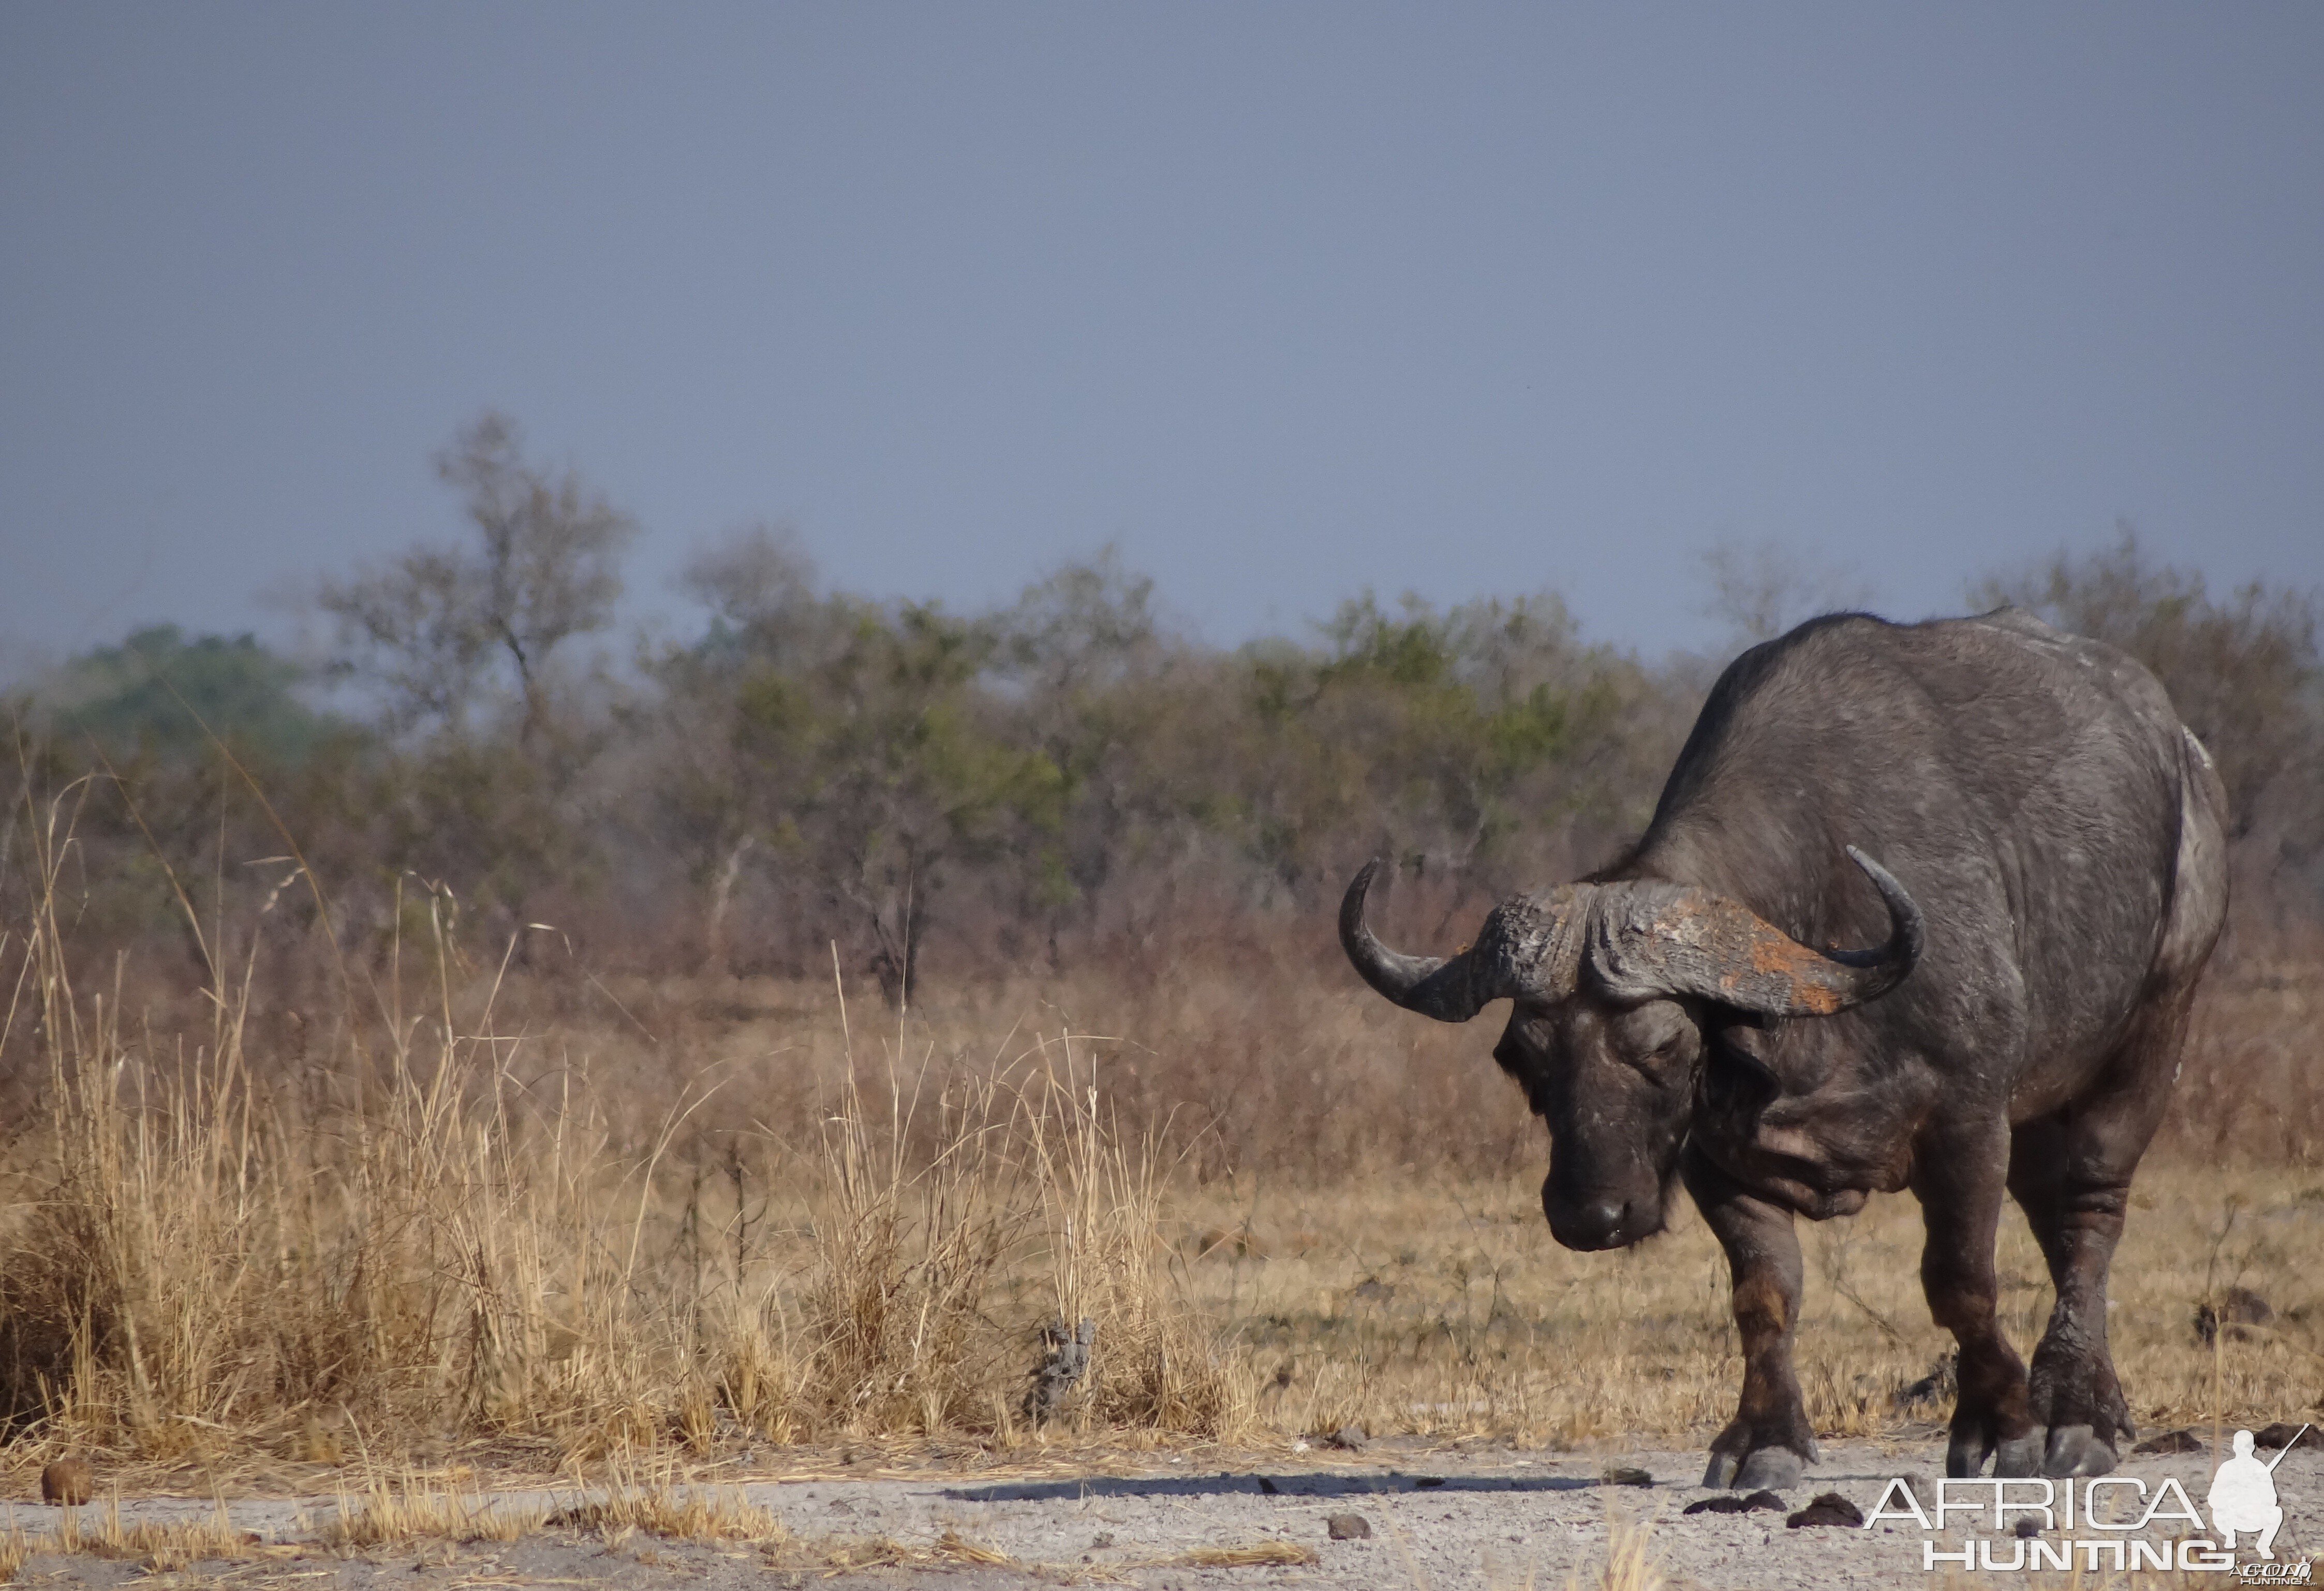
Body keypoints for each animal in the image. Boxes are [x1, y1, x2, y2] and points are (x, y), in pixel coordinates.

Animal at [1348, 609, 2231, 1489]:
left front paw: (2001, 1425)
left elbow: (1960, 1283)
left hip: (2153, 1030)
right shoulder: (1715, 1155)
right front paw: (1764, 1440)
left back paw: (2077, 1418)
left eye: (1663, 1046)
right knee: (2052, 1213)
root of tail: (2185, 754)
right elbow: (1763, 1292)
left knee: (2089, 1211)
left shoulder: (1968, 1118)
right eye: (1522, 1058)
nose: (1588, 1214)